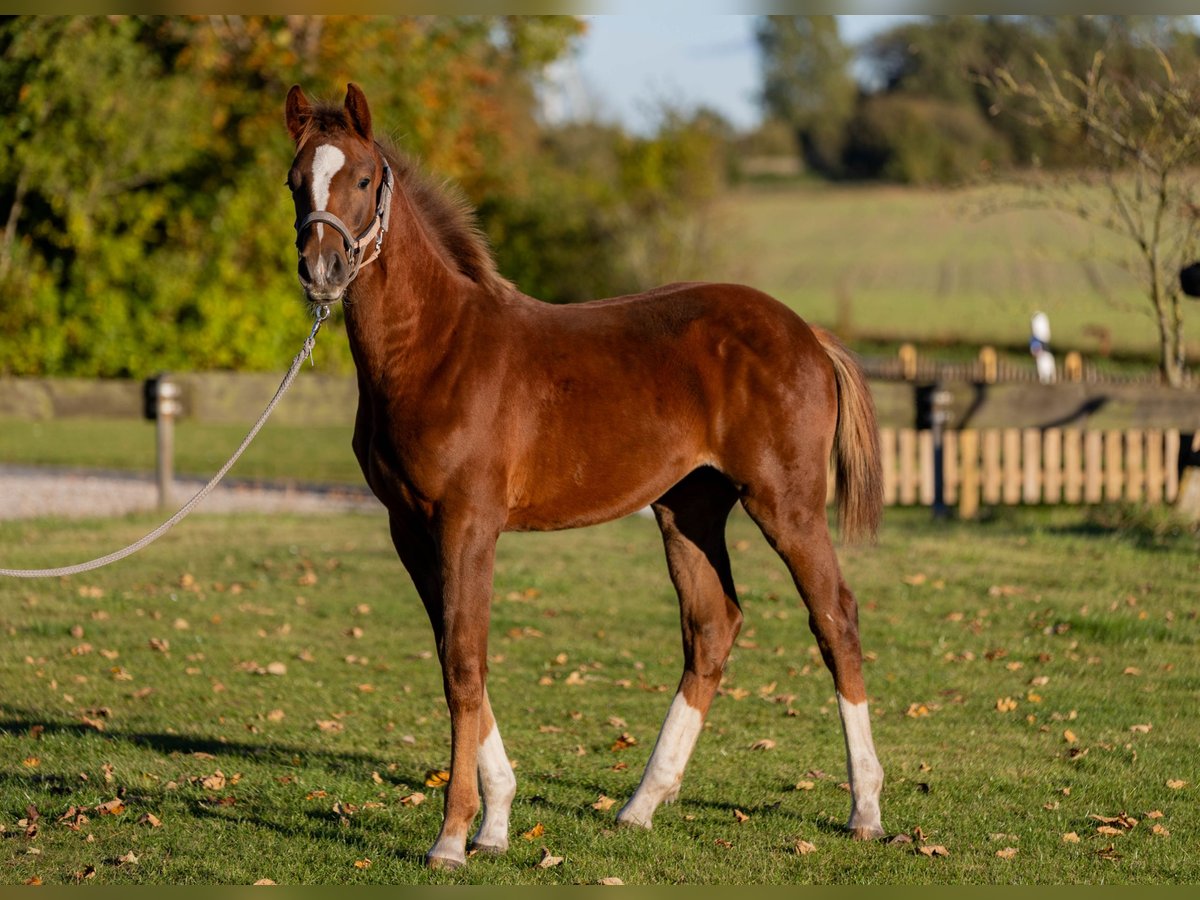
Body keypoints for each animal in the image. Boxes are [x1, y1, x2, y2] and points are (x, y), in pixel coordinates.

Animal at [284, 83, 885, 869]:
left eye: (359, 179)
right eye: (295, 181)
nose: (322, 271)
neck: (437, 349)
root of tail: (807, 334)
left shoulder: (469, 523)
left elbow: (465, 664)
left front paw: (453, 836)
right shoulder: (409, 528)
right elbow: (452, 654)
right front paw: (497, 822)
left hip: (785, 503)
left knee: (834, 618)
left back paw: (865, 808)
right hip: (688, 508)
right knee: (713, 625)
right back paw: (640, 805)